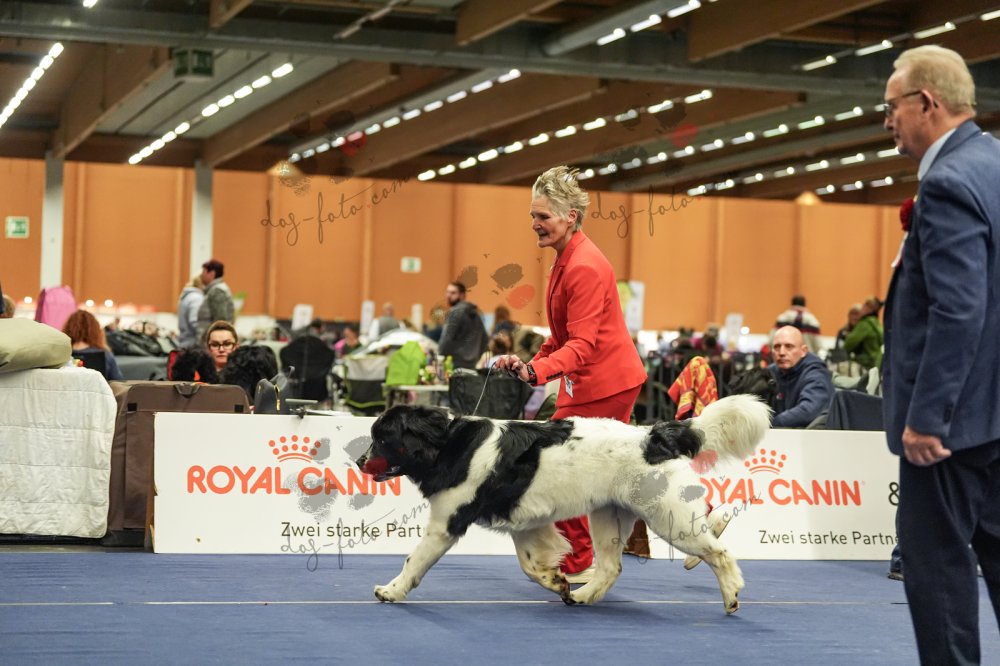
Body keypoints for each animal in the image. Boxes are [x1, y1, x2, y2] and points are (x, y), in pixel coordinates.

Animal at [356, 394, 771, 611]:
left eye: (382, 437)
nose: (359, 461)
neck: (448, 444)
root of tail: (653, 434)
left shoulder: (446, 523)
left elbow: (414, 561)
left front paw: (391, 591)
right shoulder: (526, 522)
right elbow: (530, 564)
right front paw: (556, 582)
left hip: (666, 516)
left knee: (718, 551)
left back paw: (731, 595)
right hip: (609, 517)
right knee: (611, 567)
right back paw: (583, 596)